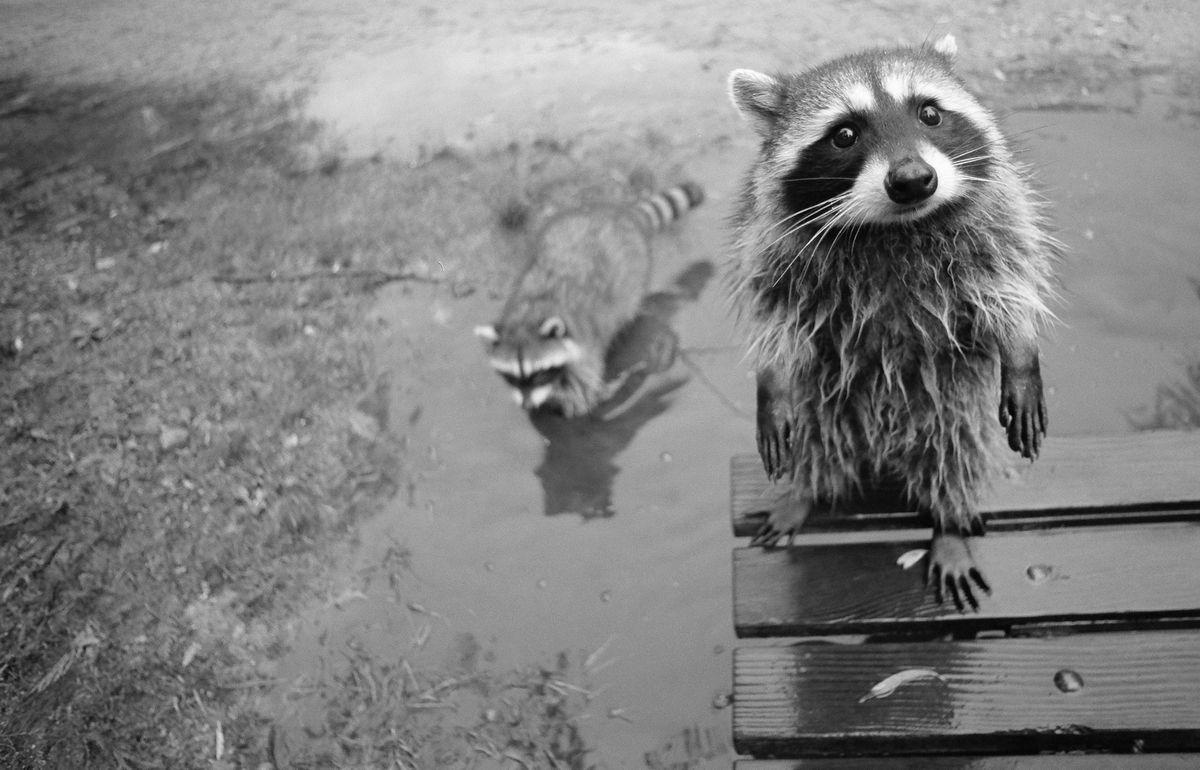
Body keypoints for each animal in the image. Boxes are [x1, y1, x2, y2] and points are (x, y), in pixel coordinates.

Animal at [476, 182, 704, 417]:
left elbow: (583, 378)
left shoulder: (586, 341)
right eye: (511, 376)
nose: (526, 405)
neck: (529, 314)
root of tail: (622, 215)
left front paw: (575, 398)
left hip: (634, 271)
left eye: (539, 374)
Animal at [726, 35, 1059, 610]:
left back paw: (948, 525)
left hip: (949, 406)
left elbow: (1008, 286)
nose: (913, 180)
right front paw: (769, 378)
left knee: (954, 454)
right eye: (844, 134)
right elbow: (777, 318)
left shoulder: (998, 219)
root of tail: (881, 448)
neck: (893, 227)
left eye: (930, 113)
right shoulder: (772, 245)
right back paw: (803, 493)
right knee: (816, 440)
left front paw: (1021, 353)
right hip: (825, 405)